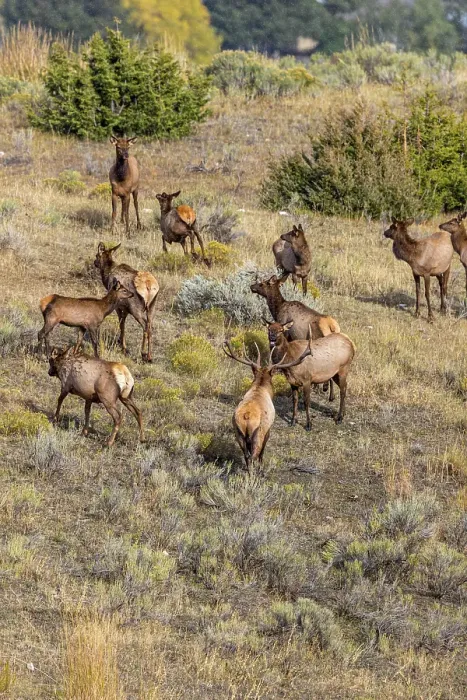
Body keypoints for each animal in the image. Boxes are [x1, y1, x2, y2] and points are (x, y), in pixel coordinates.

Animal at [223, 340, 311, 470]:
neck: (260, 388)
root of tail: (246, 416)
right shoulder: (268, 428)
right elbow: (262, 452)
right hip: (258, 433)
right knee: (253, 456)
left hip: (238, 433)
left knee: (246, 456)